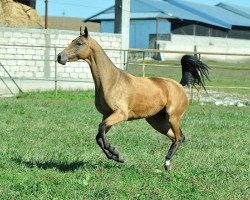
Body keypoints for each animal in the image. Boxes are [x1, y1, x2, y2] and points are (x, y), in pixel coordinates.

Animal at [56, 26, 209, 170]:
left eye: (79, 43)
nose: (60, 56)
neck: (111, 81)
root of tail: (179, 85)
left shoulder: (120, 114)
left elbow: (101, 129)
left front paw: (114, 152)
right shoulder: (107, 115)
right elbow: (99, 136)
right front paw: (116, 157)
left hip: (173, 118)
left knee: (179, 137)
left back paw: (167, 162)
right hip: (157, 122)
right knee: (176, 137)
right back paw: (167, 164)